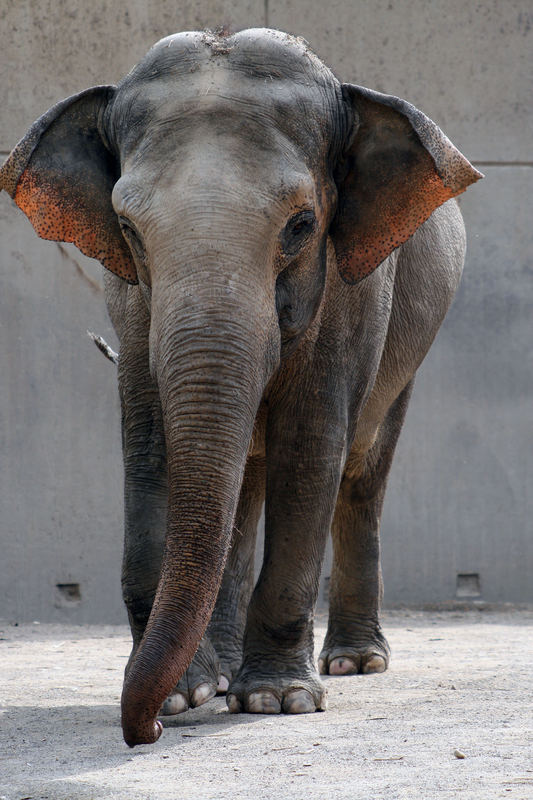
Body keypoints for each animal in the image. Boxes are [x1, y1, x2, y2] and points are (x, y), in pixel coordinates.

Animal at [0, 26, 480, 752]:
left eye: (302, 225)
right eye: (128, 229)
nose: (143, 732)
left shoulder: (353, 290)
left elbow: (310, 446)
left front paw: (277, 700)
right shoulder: (131, 301)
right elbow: (150, 446)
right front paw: (186, 695)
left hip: (412, 342)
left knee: (361, 473)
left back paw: (353, 662)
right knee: (245, 485)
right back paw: (225, 673)